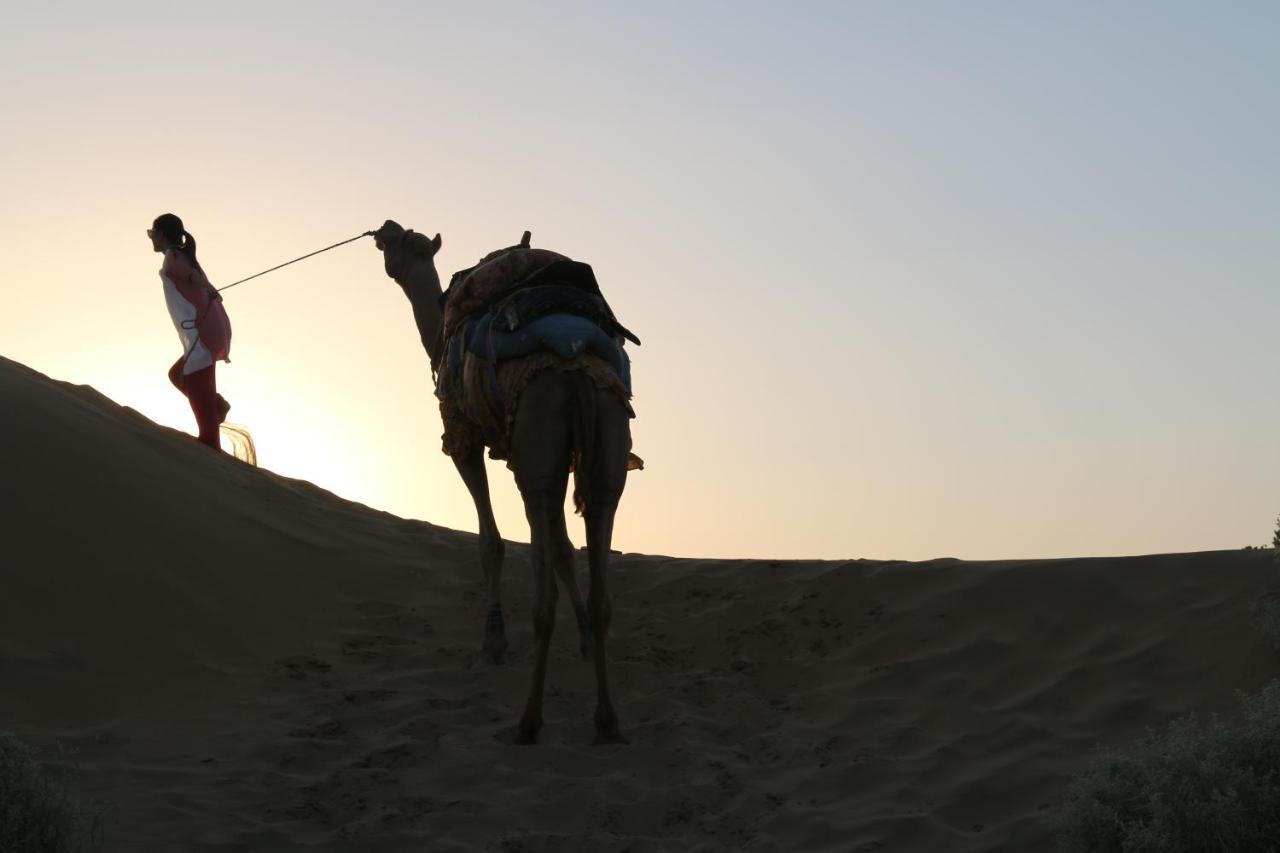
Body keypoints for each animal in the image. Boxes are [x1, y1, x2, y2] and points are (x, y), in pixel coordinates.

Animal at [368, 220, 632, 742]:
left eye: (402, 241)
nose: (384, 228)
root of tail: (574, 362)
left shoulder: (466, 437)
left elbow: (491, 542)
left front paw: (493, 642)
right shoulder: (534, 460)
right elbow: (563, 551)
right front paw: (583, 639)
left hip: (538, 443)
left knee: (543, 596)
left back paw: (529, 721)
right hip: (602, 454)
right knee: (601, 580)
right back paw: (607, 719)